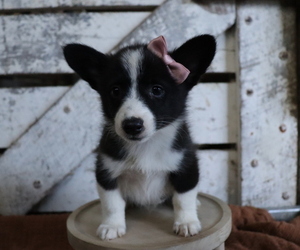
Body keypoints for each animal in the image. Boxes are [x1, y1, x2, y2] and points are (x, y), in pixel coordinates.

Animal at [64, 35, 217, 240]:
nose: (132, 125)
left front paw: (186, 222)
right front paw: (111, 225)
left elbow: (183, 198)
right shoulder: (106, 171)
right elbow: (112, 203)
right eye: (115, 91)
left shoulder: (186, 166)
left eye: (157, 90)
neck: (146, 146)